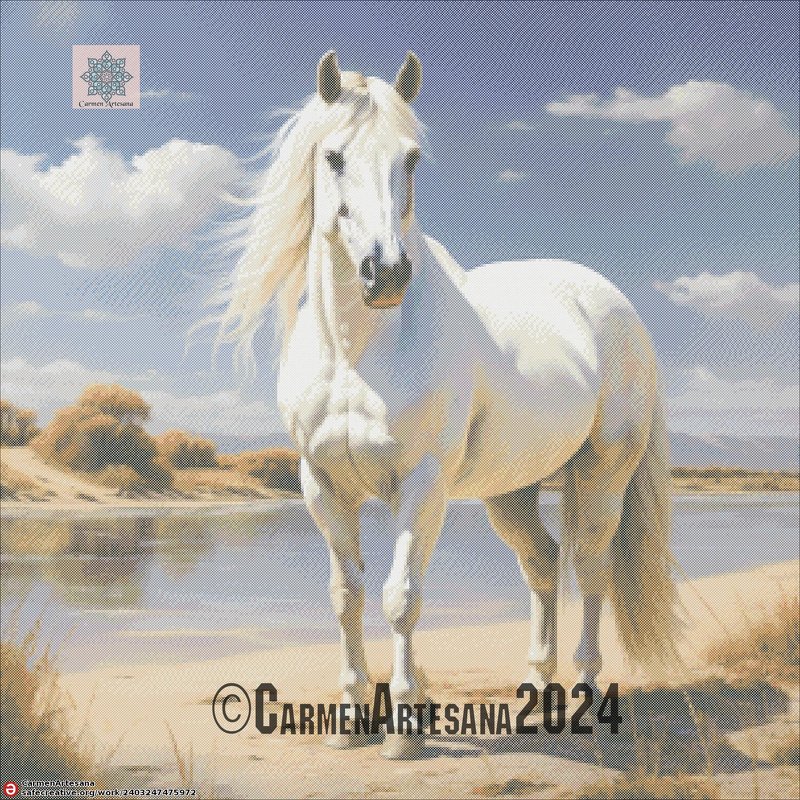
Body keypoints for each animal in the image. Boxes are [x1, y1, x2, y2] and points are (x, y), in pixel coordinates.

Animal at [215, 51, 680, 759]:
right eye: (333, 157)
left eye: (410, 158)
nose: (386, 274)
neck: (358, 351)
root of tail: (613, 303)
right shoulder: (323, 485)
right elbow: (346, 597)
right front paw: (350, 720)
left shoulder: (423, 484)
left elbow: (400, 598)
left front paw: (405, 728)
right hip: (510, 492)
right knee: (544, 565)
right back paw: (533, 694)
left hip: (601, 479)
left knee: (591, 570)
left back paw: (585, 699)